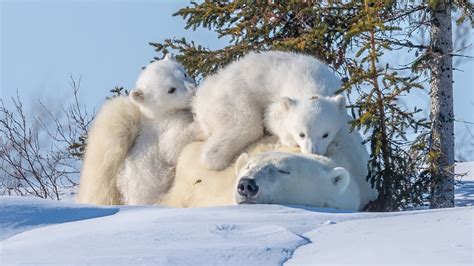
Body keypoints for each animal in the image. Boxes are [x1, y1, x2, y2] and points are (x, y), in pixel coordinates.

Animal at [77, 55, 198, 206]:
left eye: (184, 74)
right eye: (171, 89)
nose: (193, 90)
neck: (157, 114)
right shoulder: (166, 124)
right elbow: (172, 146)